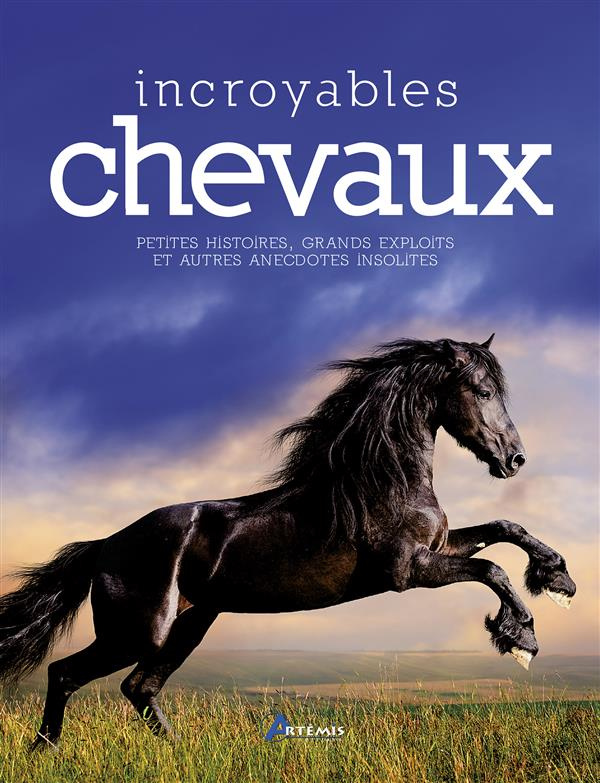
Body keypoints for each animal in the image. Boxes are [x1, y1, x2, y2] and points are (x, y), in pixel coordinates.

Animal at [0, 335, 576, 749]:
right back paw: (44, 752)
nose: (515, 459)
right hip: (138, 632)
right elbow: (492, 570)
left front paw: (558, 579)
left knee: (139, 688)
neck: (383, 481)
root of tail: (106, 545)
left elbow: (504, 530)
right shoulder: (409, 572)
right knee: (65, 673)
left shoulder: (439, 547)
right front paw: (520, 637)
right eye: (482, 392)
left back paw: (179, 751)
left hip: (189, 624)